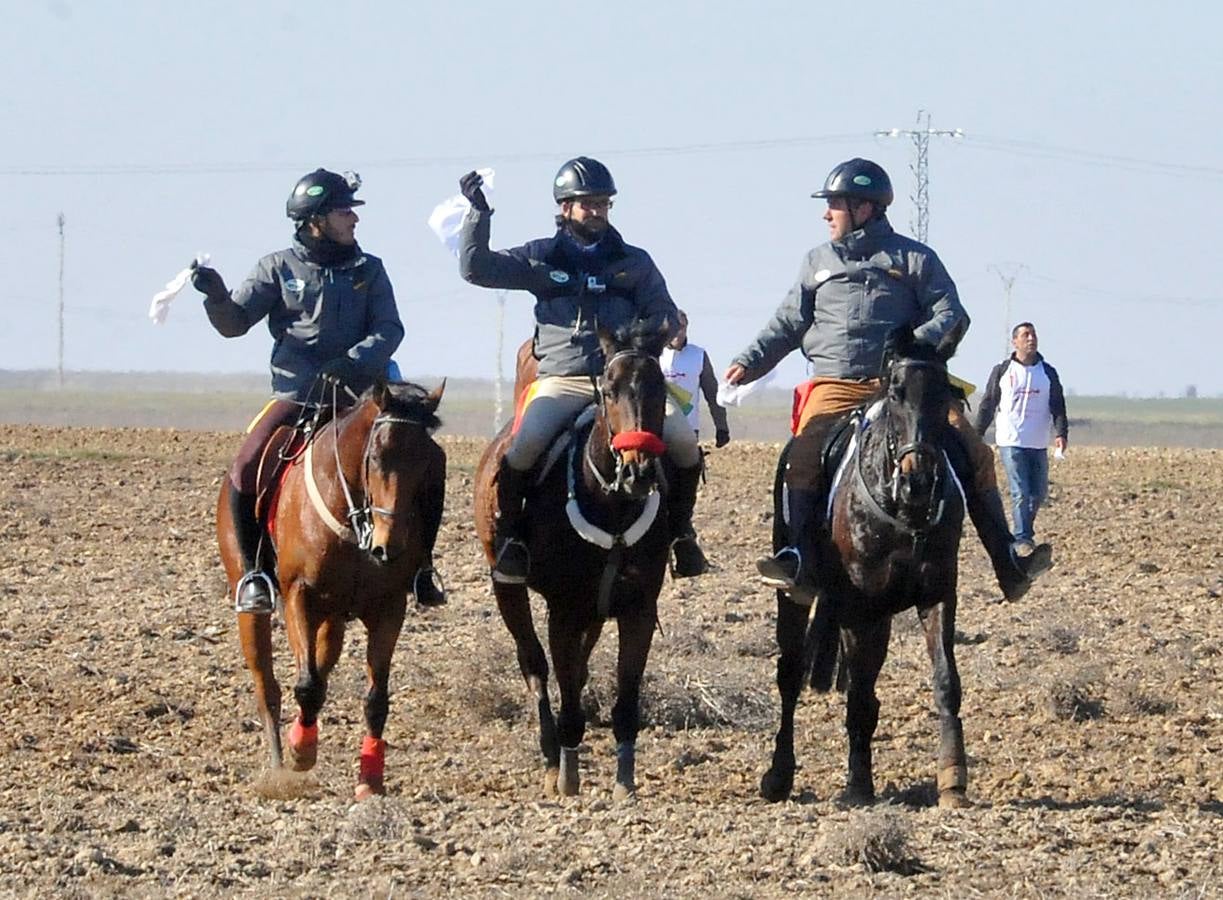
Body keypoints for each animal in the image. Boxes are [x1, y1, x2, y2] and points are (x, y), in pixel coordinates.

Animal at [217, 376, 447, 797]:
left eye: (429, 463)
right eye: (376, 457)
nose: (390, 546)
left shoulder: (389, 607)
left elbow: (375, 698)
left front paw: (370, 779)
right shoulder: (300, 596)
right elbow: (307, 685)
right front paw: (301, 753)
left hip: (334, 617)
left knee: (322, 664)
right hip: (255, 605)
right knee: (268, 687)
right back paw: (279, 765)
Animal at [753, 330, 973, 807]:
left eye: (944, 392)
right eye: (896, 391)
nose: (917, 480)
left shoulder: (936, 595)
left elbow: (946, 680)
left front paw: (952, 778)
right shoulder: (858, 608)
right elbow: (857, 695)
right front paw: (857, 785)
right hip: (797, 596)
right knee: (790, 673)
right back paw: (778, 775)